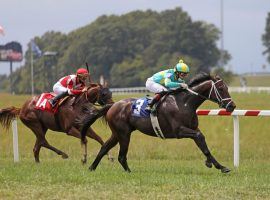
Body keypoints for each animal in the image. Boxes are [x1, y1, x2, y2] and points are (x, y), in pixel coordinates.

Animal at [80, 72, 236, 173]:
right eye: (221, 88)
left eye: (227, 88)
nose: (232, 106)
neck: (184, 103)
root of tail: (113, 105)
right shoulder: (179, 131)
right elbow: (200, 137)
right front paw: (219, 166)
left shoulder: (192, 128)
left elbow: (202, 142)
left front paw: (214, 164)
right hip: (123, 134)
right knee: (121, 156)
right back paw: (129, 172)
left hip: (118, 133)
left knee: (104, 148)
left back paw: (92, 168)